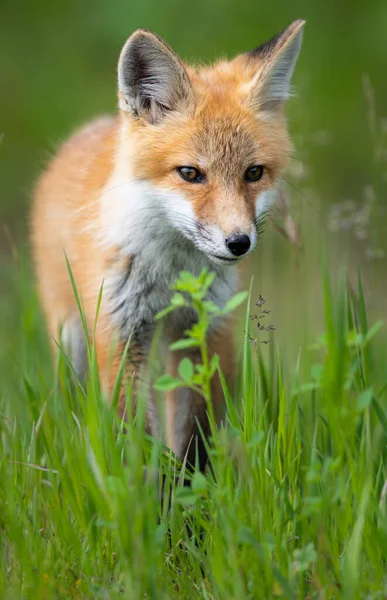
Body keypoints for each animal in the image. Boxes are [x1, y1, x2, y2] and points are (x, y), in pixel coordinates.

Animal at [31, 19, 306, 468]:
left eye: (253, 173)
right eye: (190, 173)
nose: (239, 242)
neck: (172, 275)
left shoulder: (206, 331)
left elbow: (195, 428)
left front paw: (191, 482)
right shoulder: (119, 334)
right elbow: (137, 437)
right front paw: (147, 487)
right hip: (69, 338)